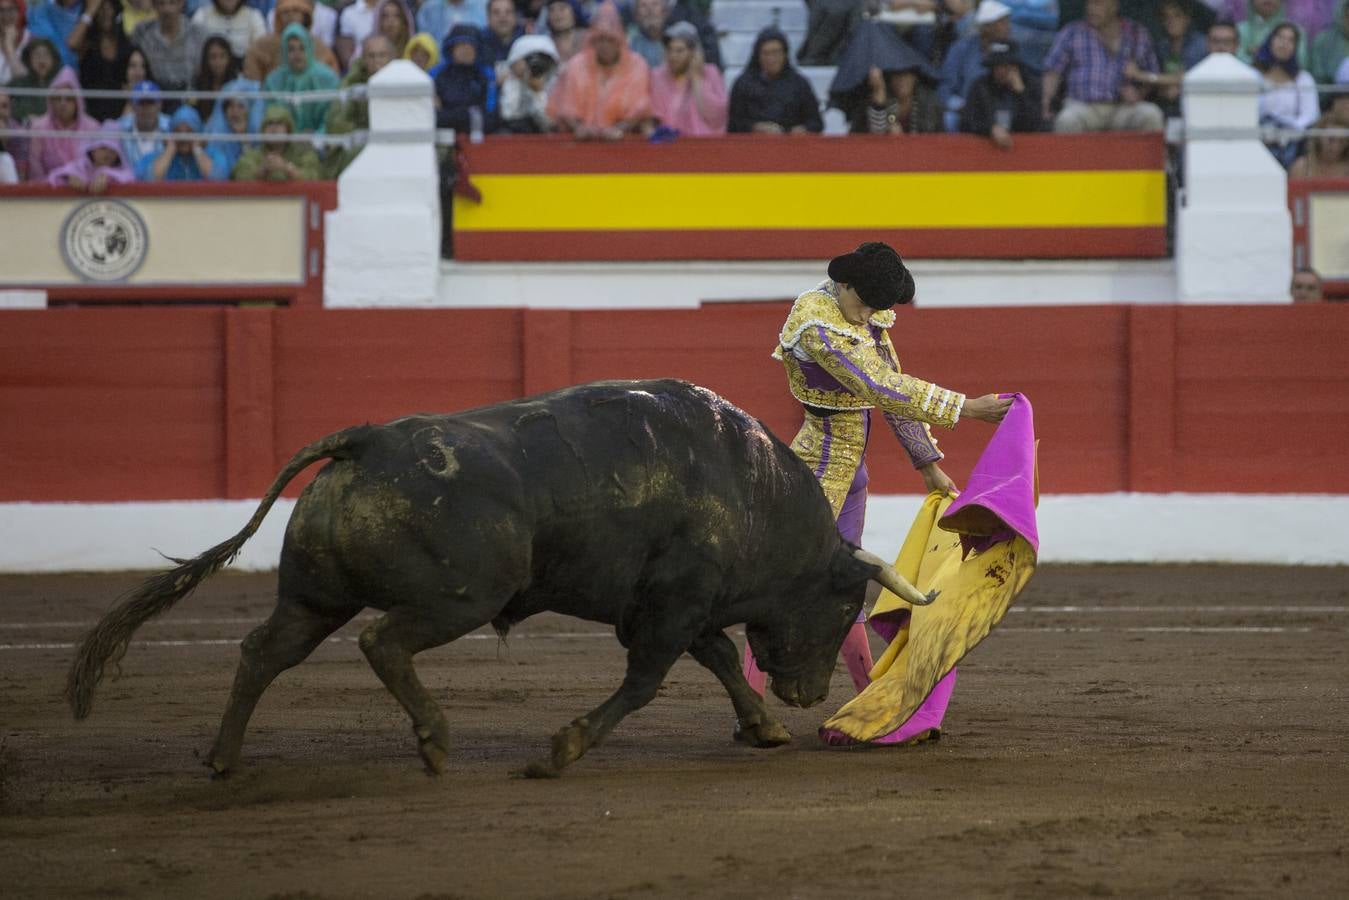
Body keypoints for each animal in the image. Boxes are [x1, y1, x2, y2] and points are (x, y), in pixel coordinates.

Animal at [63, 377, 928, 777]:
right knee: (383, 643)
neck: (749, 491)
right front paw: (562, 747)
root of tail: (366, 441)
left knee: (262, 652)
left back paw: (221, 757)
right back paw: (434, 741)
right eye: (844, 604)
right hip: (458, 598)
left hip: (314, 597)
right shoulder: (671, 606)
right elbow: (647, 680)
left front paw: (763, 728)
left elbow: (715, 659)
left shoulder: (682, 607)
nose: (808, 696)